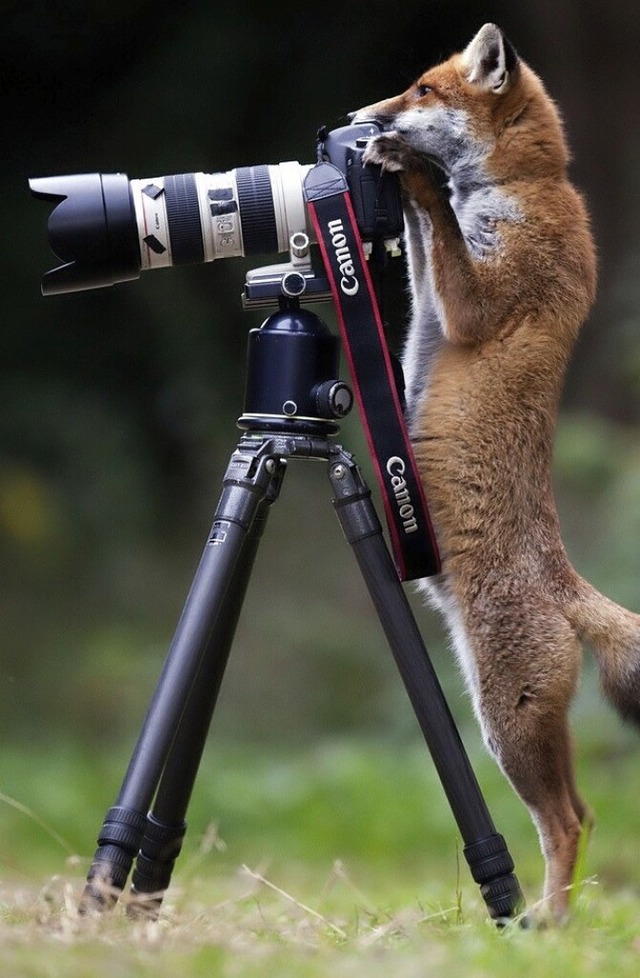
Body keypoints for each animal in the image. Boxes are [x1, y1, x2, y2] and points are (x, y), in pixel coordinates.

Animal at [352, 22, 636, 920]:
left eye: (422, 92)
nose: (359, 119)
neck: (522, 189)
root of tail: (563, 579)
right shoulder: (433, 292)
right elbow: (421, 249)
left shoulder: (482, 299)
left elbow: (438, 224)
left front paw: (410, 173)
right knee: (584, 813)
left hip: (502, 721)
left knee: (570, 821)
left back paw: (547, 921)